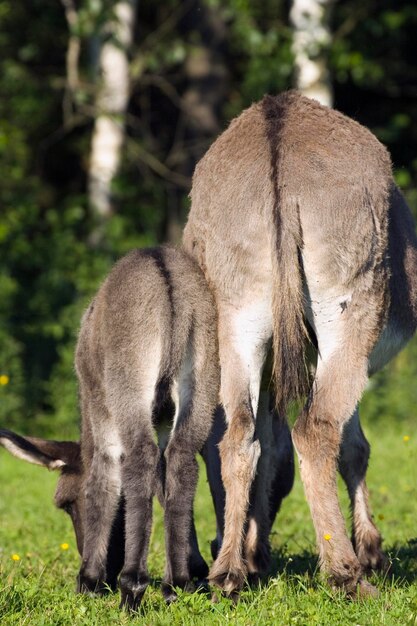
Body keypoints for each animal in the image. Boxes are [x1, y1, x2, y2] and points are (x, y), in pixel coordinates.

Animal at [75, 246, 218, 608]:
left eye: (69, 505)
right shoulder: (166, 418)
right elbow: (164, 484)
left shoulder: (101, 407)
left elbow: (102, 483)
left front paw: (88, 581)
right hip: (201, 382)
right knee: (182, 463)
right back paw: (174, 584)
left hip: (129, 388)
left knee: (140, 460)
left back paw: (132, 586)